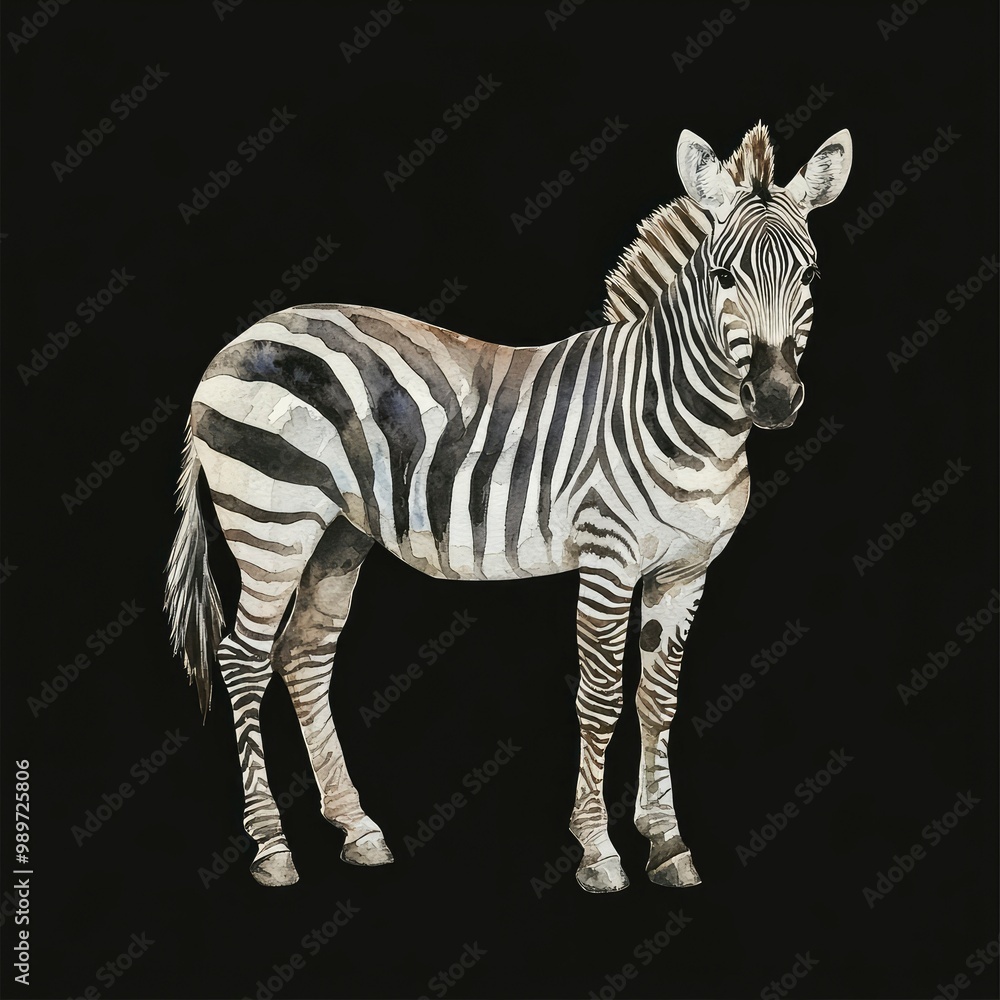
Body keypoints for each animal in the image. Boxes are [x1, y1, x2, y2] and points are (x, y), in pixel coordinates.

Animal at [165, 122, 852, 891]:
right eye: (724, 277)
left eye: (810, 278)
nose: (775, 400)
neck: (682, 417)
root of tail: (240, 339)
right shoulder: (608, 560)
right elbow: (601, 697)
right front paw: (599, 851)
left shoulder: (684, 572)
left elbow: (658, 700)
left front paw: (668, 844)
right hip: (272, 523)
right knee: (243, 659)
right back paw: (272, 849)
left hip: (339, 532)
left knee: (304, 655)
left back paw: (358, 829)